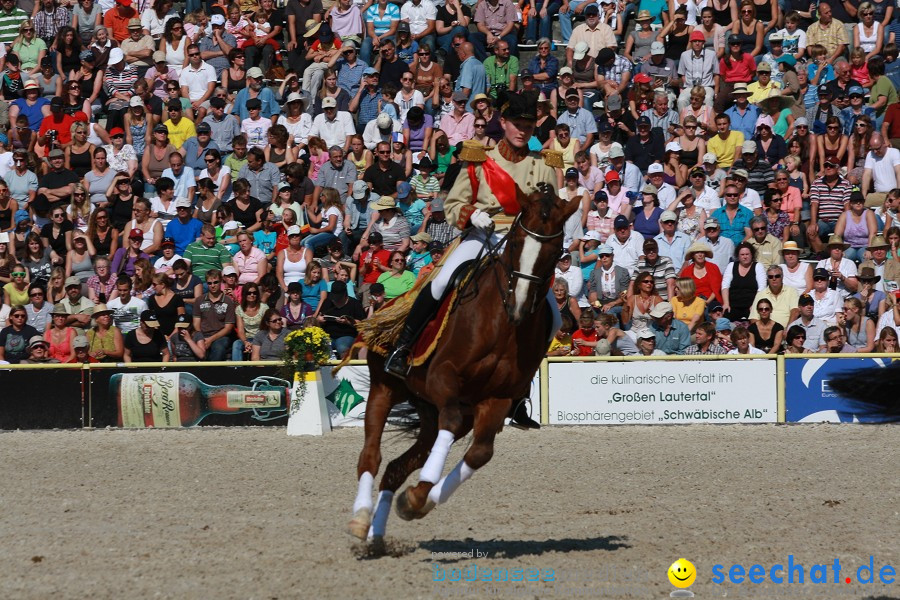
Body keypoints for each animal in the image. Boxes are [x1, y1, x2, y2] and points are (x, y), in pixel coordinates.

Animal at [348, 184, 580, 544]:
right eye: (516, 243)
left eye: (556, 252)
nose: (519, 306)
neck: (503, 325)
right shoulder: (443, 379)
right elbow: (454, 421)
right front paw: (421, 494)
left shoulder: (497, 399)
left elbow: (480, 453)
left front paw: (420, 499)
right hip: (385, 388)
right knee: (371, 456)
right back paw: (361, 520)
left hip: (431, 411)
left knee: (397, 468)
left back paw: (378, 535)